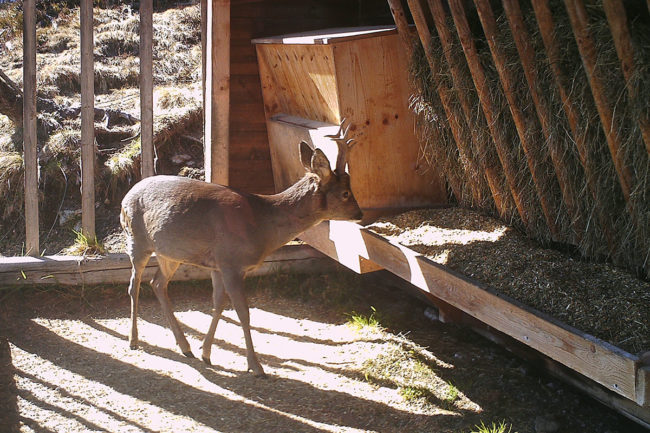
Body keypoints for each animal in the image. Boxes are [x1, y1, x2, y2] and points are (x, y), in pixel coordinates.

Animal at [120, 121, 360, 374]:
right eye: (346, 193)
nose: (360, 214)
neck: (262, 224)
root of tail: (126, 196)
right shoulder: (230, 262)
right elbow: (243, 313)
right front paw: (256, 366)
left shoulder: (218, 265)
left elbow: (218, 304)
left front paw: (206, 353)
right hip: (136, 239)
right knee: (134, 285)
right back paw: (134, 340)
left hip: (169, 253)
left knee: (157, 283)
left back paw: (185, 347)